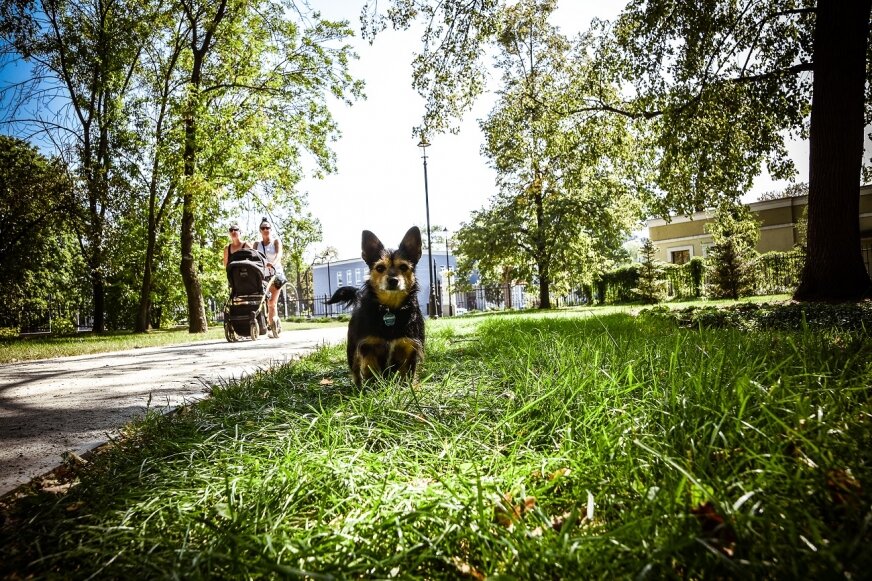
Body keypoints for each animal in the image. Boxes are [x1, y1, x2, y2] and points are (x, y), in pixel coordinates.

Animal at [326, 227, 424, 386]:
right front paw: (373, 389)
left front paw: (407, 389)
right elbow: (371, 373)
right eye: (380, 268)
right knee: (355, 371)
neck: (390, 309)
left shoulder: (409, 347)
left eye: (403, 267)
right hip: (352, 350)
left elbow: (406, 376)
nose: (393, 280)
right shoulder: (368, 347)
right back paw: (358, 387)